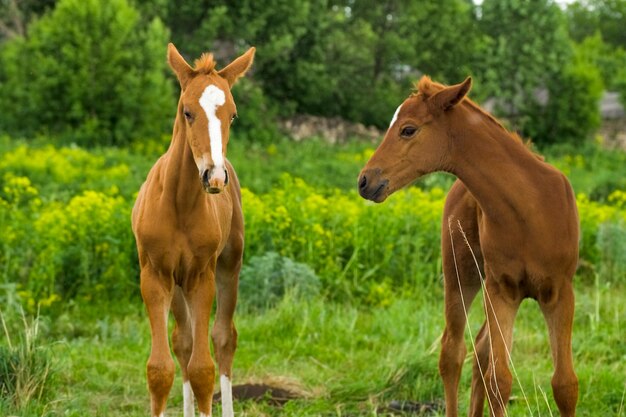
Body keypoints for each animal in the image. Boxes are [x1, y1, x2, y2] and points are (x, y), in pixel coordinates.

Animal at [132, 43, 254, 416]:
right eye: (187, 112)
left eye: (232, 115)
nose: (214, 176)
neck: (179, 204)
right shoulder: (155, 275)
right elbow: (161, 368)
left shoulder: (201, 277)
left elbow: (203, 369)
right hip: (176, 284)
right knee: (183, 342)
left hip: (229, 265)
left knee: (224, 339)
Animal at [358, 76, 576, 414]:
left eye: (408, 129)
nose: (365, 180)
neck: (530, 210)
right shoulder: (502, 292)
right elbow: (500, 380)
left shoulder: (560, 293)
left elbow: (564, 384)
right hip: (462, 273)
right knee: (453, 351)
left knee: (480, 351)